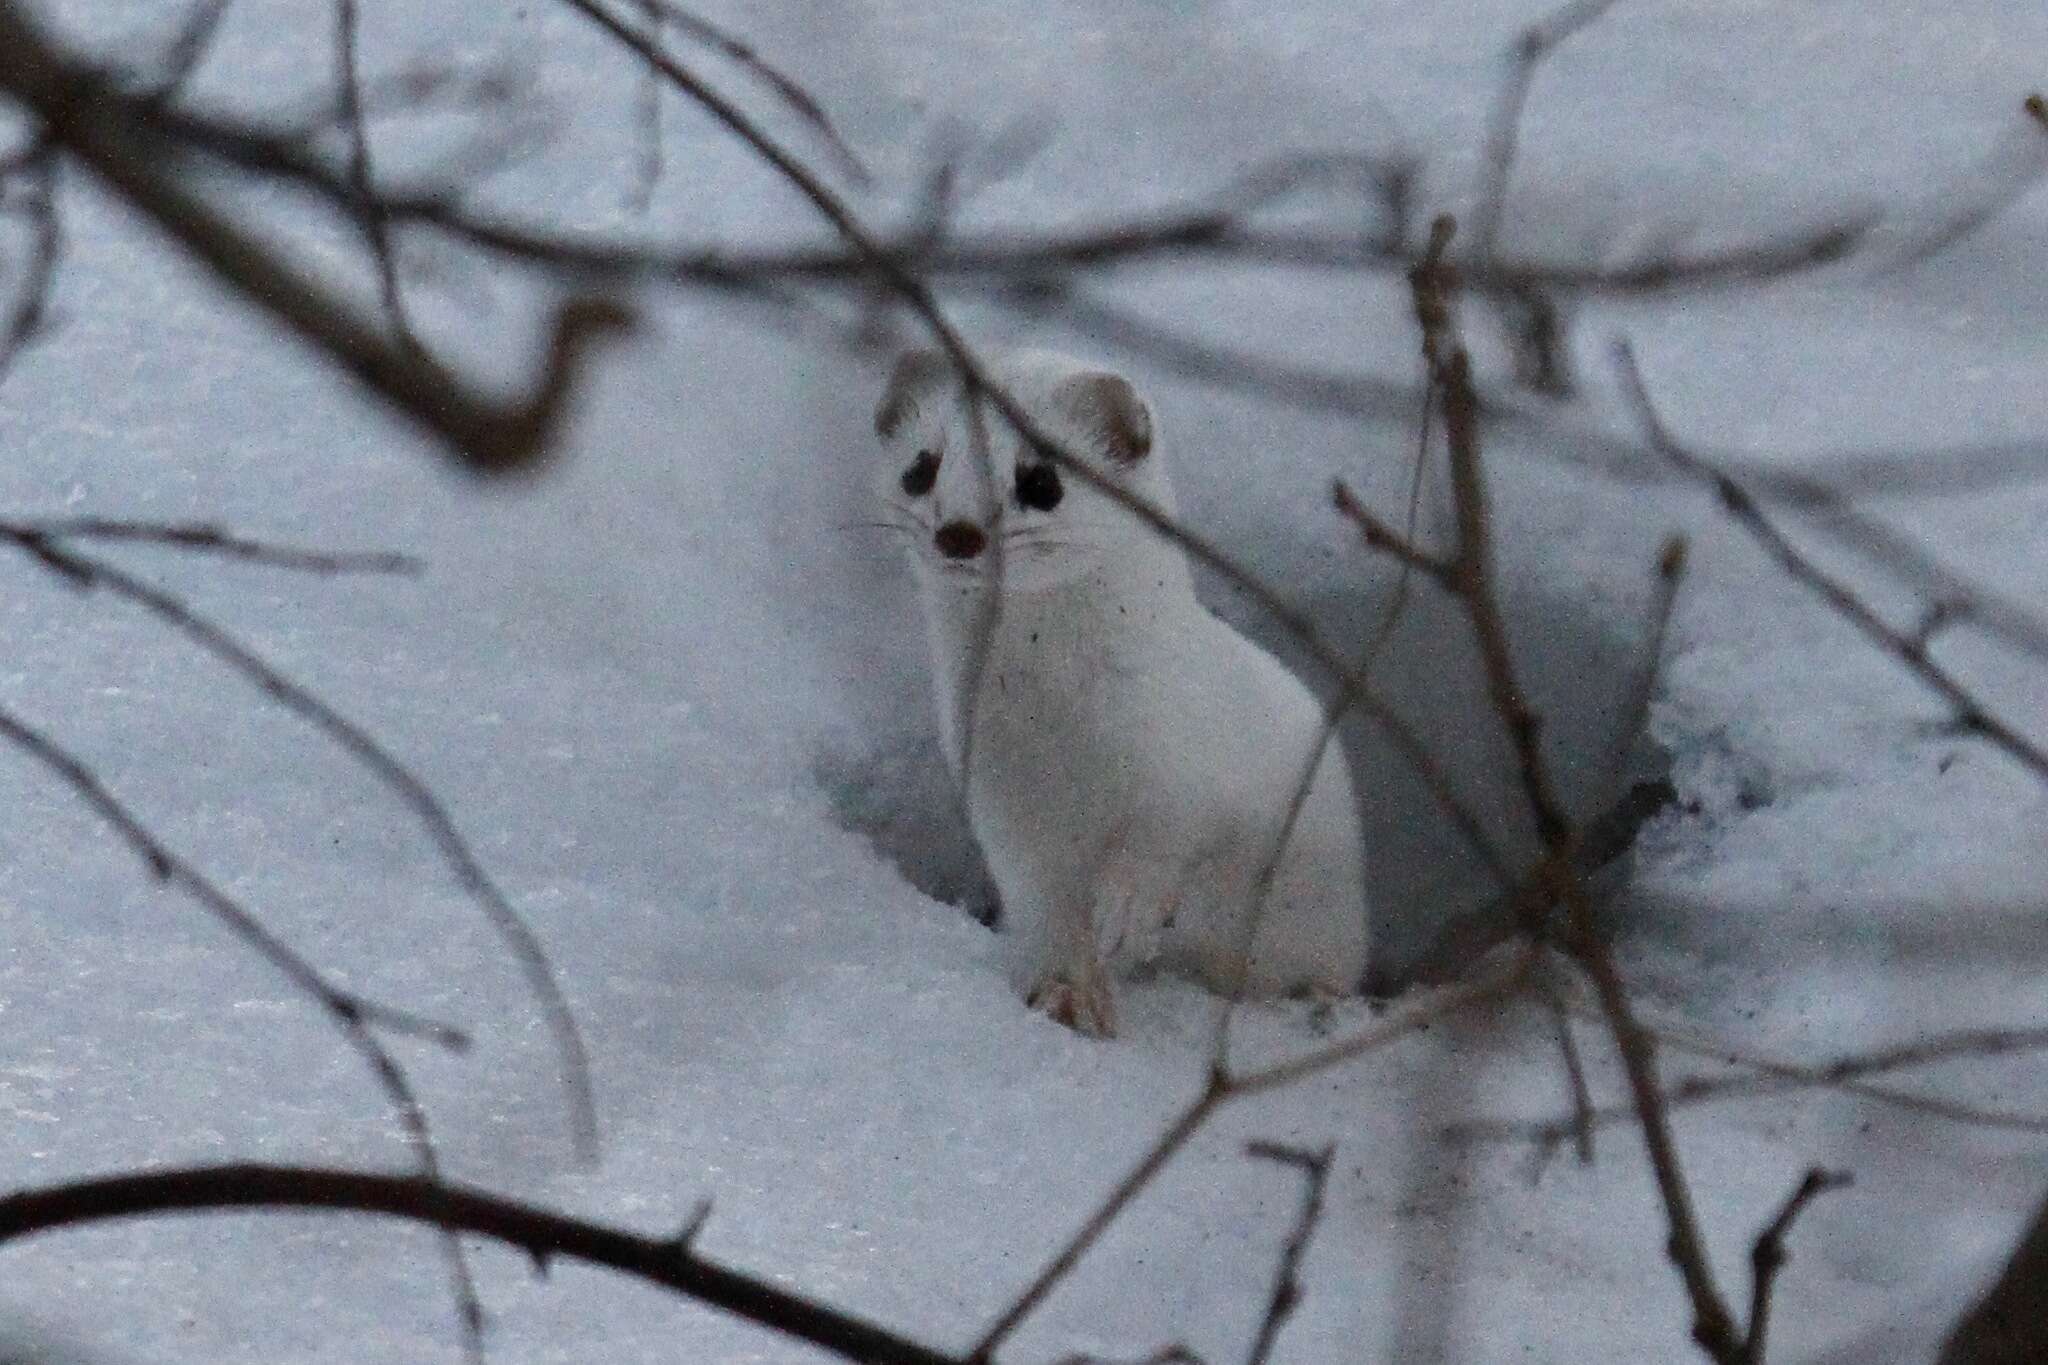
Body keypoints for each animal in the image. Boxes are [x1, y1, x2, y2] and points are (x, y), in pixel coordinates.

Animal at [872, 351, 1368, 1035]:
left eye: (1041, 479)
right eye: (920, 467)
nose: (959, 532)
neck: (1058, 724)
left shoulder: (1188, 763)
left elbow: (1166, 845)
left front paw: (1126, 914)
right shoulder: (1004, 805)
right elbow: (1049, 912)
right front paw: (1067, 997)